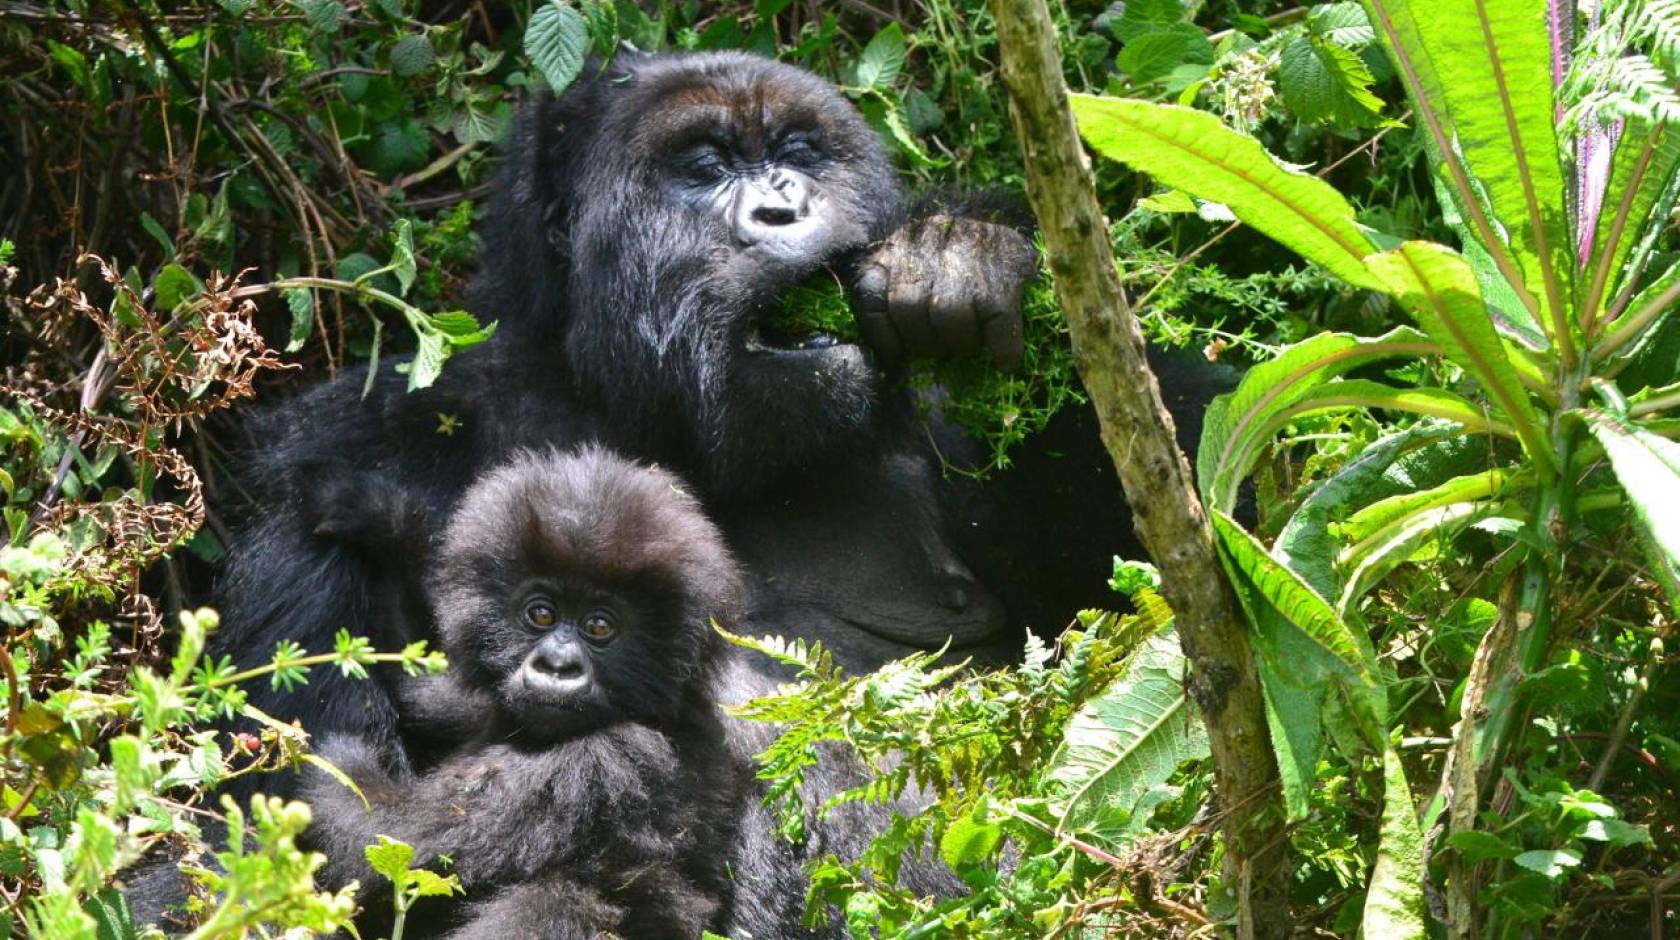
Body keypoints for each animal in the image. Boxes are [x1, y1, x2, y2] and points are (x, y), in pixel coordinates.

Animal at [302, 449, 749, 940]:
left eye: (599, 626)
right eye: (541, 614)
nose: (557, 665)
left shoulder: (612, 759)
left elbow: (397, 842)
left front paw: (330, 753)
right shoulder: (479, 704)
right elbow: (420, 683)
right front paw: (387, 530)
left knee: (555, 900)